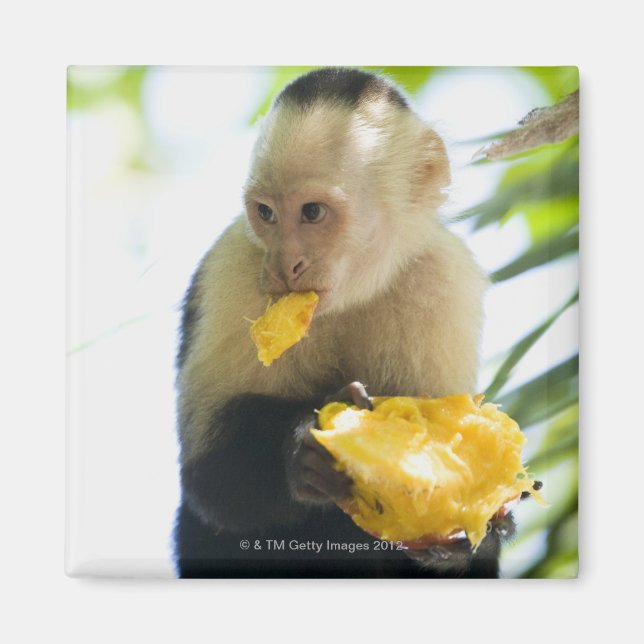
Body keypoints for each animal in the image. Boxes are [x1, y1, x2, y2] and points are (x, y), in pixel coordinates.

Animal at [174, 67, 512, 578]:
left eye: (312, 212)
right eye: (266, 213)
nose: (284, 265)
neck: (353, 293)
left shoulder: (443, 278)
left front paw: (481, 532)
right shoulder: (234, 269)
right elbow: (208, 477)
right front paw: (300, 450)